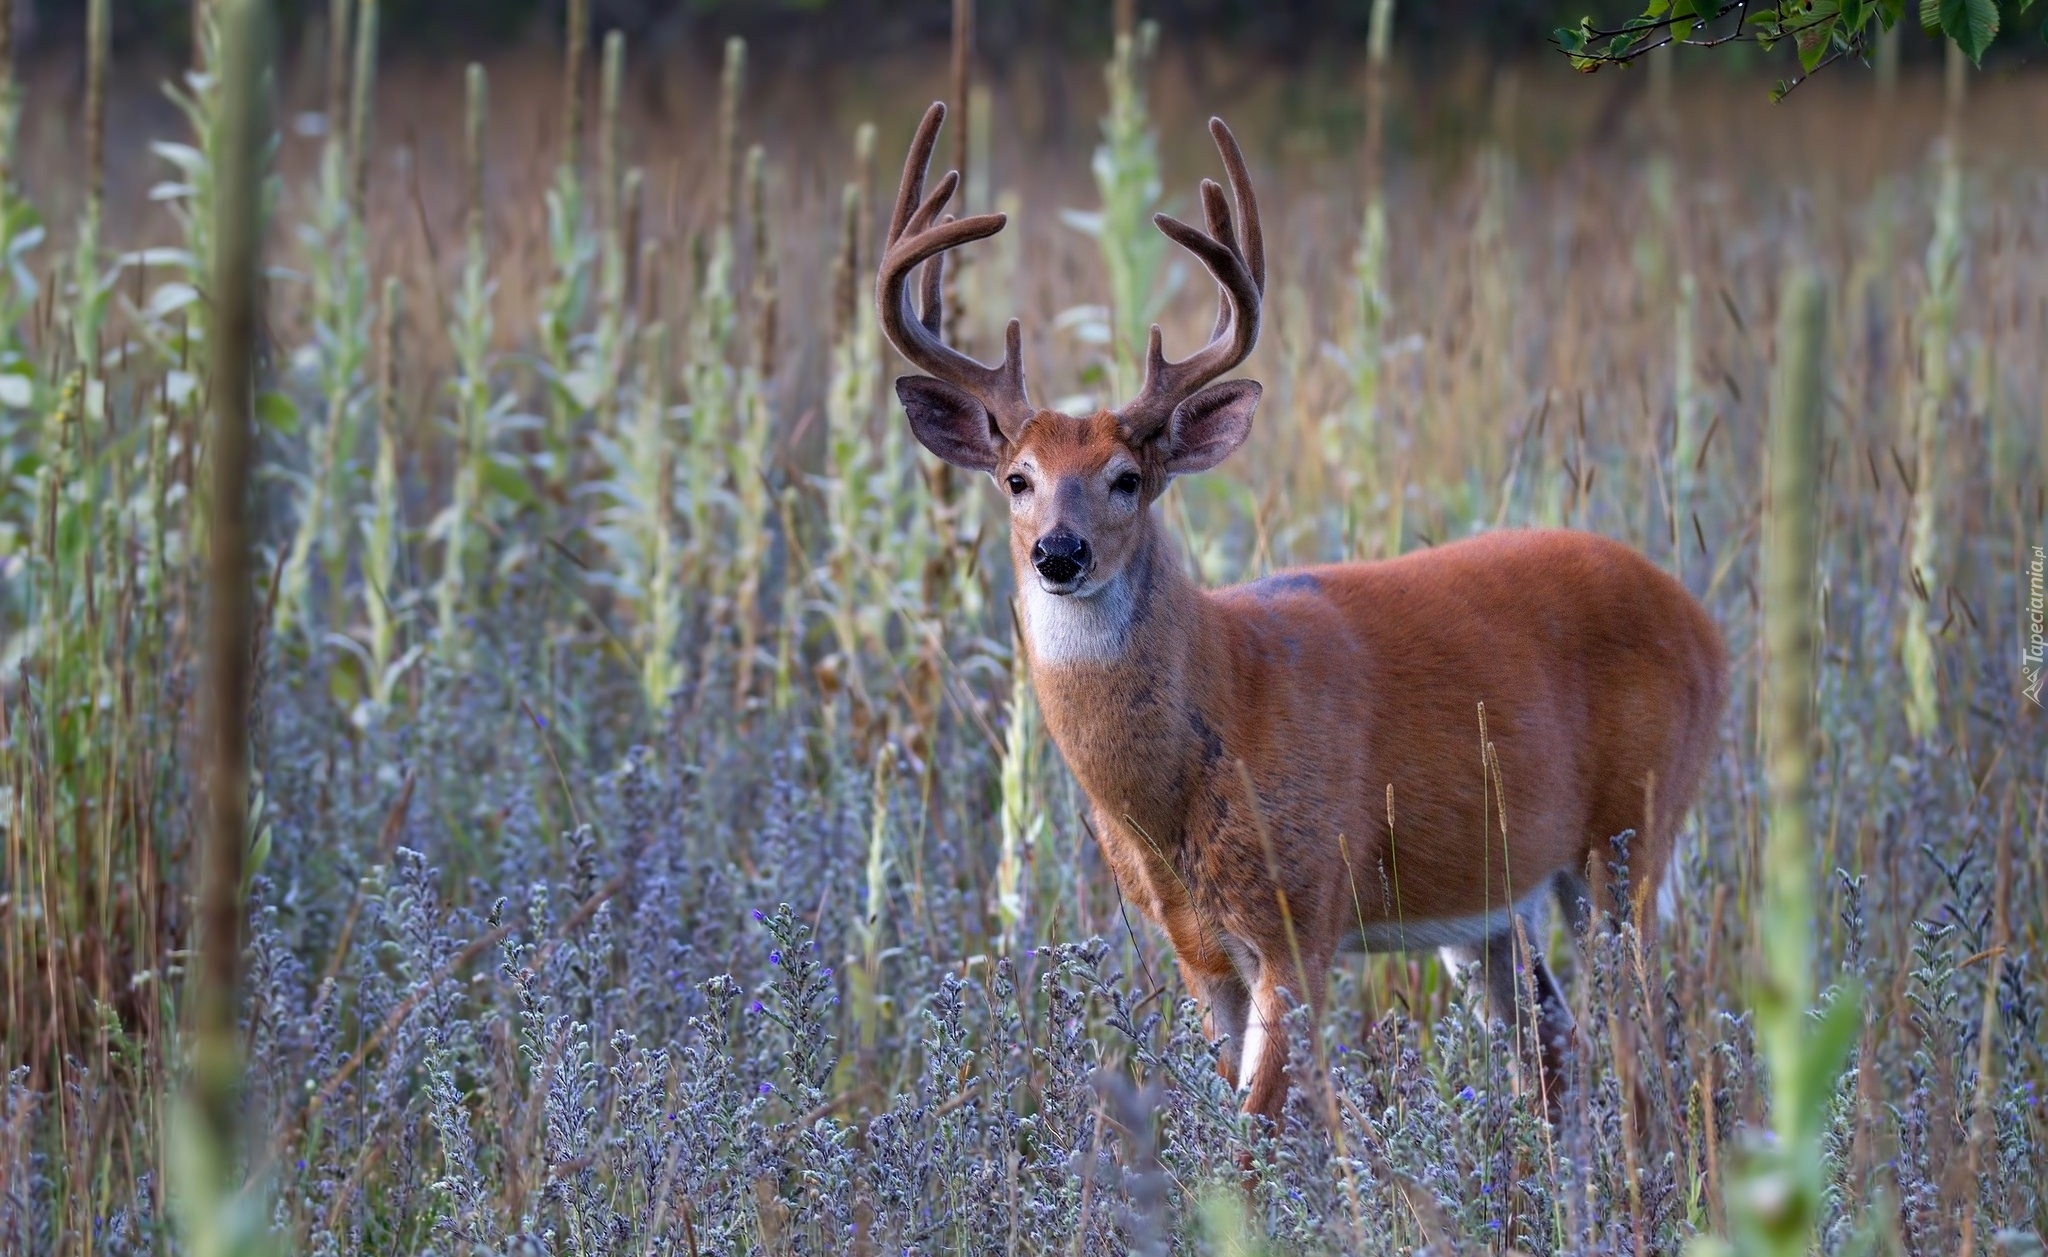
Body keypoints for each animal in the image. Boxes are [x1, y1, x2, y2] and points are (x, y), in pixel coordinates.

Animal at [876, 103, 1728, 1130]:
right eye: (1016, 478)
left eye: (1127, 478)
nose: (1059, 552)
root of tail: (1706, 627)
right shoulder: (1197, 949)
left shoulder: (1305, 909)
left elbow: (1261, 1129)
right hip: (1499, 901)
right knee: (1558, 1044)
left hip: (1632, 832)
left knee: (1647, 1037)